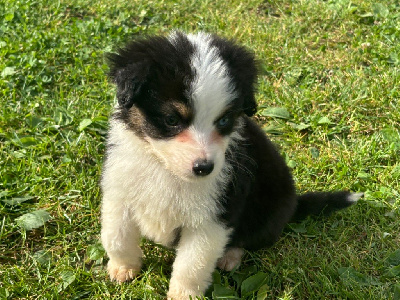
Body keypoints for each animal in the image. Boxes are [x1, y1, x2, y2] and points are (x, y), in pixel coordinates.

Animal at [101, 31, 362, 300]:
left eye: (224, 120)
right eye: (171, 119)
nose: (204, 168)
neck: (165, 169)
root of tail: (294, 204)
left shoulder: (215, 215)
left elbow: (192, 264)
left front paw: (183, 294)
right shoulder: (119, 191)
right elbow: (115, 236)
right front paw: (123, 267)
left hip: (267, 212)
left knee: (248, 239)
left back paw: (230, 256)